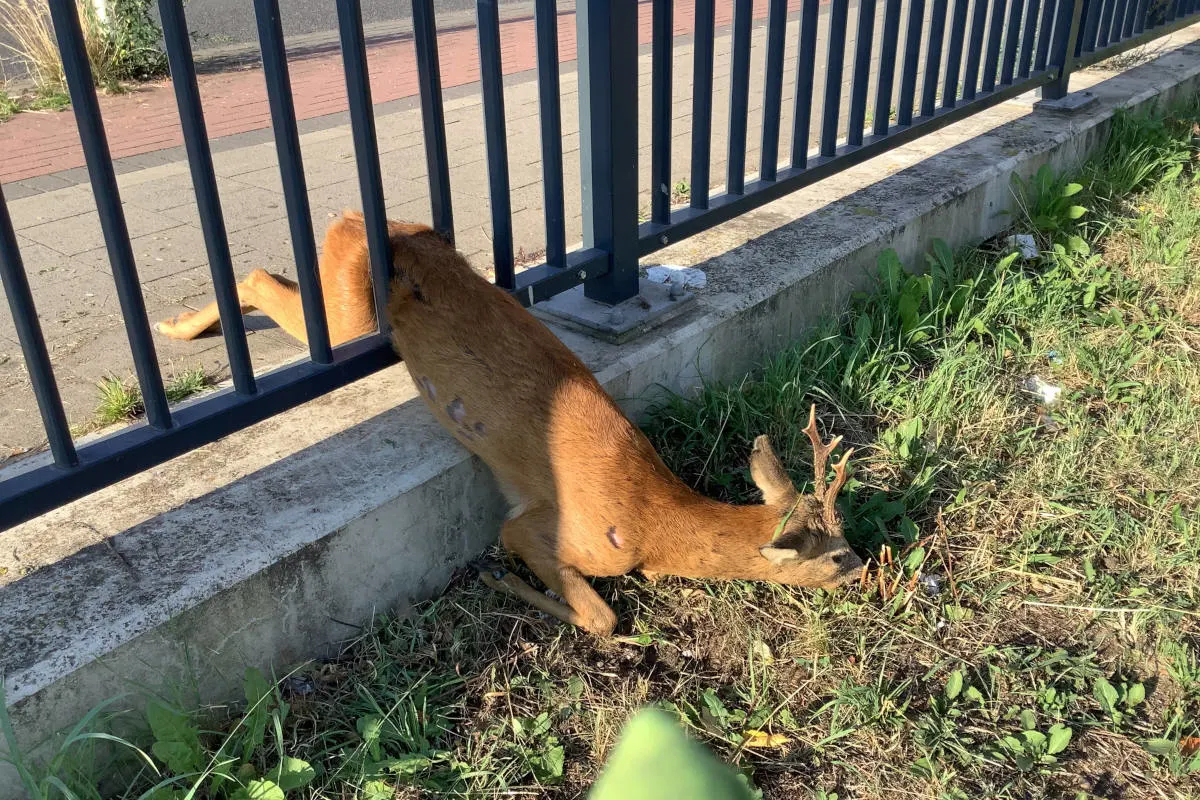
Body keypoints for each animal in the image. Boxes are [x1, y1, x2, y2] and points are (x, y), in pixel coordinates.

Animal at [157, 210, 864, 635]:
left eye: (847, 539)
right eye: (834, 557)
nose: (866, 571)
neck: (655, 523)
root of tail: (378, 223)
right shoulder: (543, 528)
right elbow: (602, 617)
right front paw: (499, 578)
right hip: (354, 316)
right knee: (262, 278)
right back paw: (171, 327)